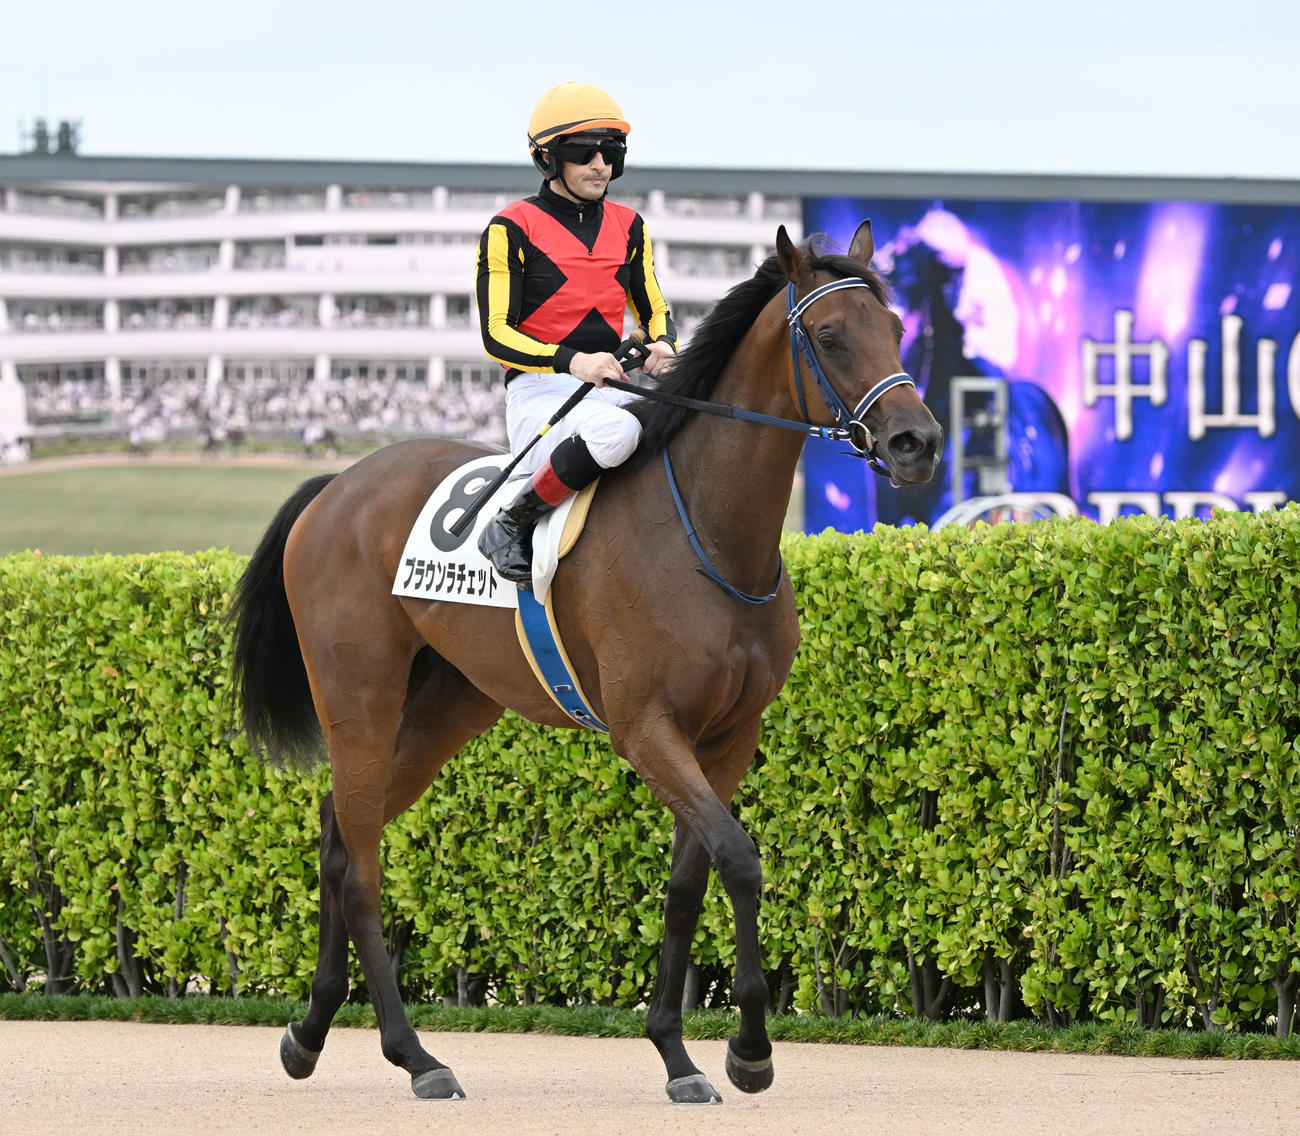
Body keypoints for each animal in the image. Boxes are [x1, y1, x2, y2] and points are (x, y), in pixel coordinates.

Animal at [229, 221, 943, 1104]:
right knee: (361, 866)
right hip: (358, 697)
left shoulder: (730, 735)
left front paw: (678, 1053)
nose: (918, 443)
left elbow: (689, 881)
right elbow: (739, 860)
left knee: (338, 832)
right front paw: (749, 1048)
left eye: (898, 329)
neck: (708, 535)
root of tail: (337, 487)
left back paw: (310, 1031)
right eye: (832, 334)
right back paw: (416, 1056)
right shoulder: (645, 729)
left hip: (445, 711)